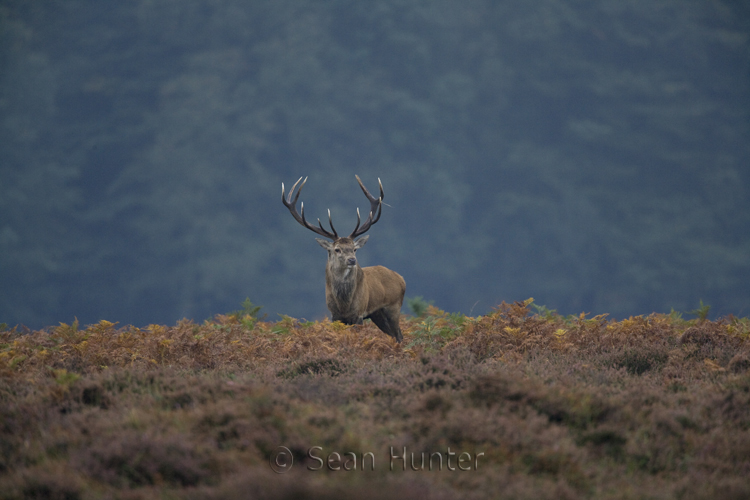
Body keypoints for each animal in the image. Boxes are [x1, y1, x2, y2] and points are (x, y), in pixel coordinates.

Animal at [282, 175, 405, 342]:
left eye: (354, 249)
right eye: (337, 249)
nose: (352, 260)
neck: (344, 305)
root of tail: (401, 279)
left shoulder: (359, 314)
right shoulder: (335, 316)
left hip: (393, 307)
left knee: (399, 335)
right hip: (377, 314)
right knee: (393, 335)